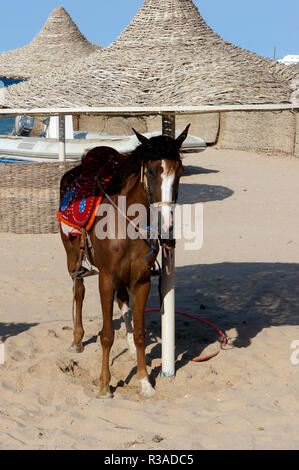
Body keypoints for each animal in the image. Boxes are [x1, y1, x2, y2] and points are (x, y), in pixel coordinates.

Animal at [60, 125, 190, 396]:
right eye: (151, 170)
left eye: (180, 171)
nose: (167, 225)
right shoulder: (106, 279)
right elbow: (107, 335)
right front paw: (104, 384)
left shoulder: (141, 281)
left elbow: (140, 332)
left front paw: (144, 381)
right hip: (72, 257)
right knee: (79, 291)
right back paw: (77, 340)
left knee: (122, 302)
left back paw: (128, 343)